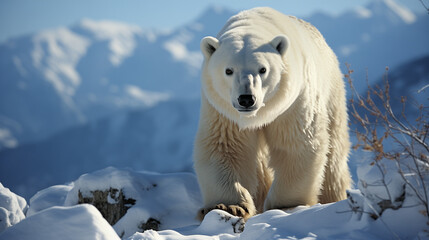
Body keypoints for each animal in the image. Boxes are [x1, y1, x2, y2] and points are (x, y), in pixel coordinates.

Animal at [194, 7, 352, 220]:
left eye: (263, 69)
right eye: (228, 70)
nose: (246, 99)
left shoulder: (294, 101)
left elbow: (297, 145)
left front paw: (285, 205)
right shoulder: (223, 111)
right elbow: (224, 146)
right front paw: (229, 206)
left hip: (331, 91)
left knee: (334, 152)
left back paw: (333, 197)